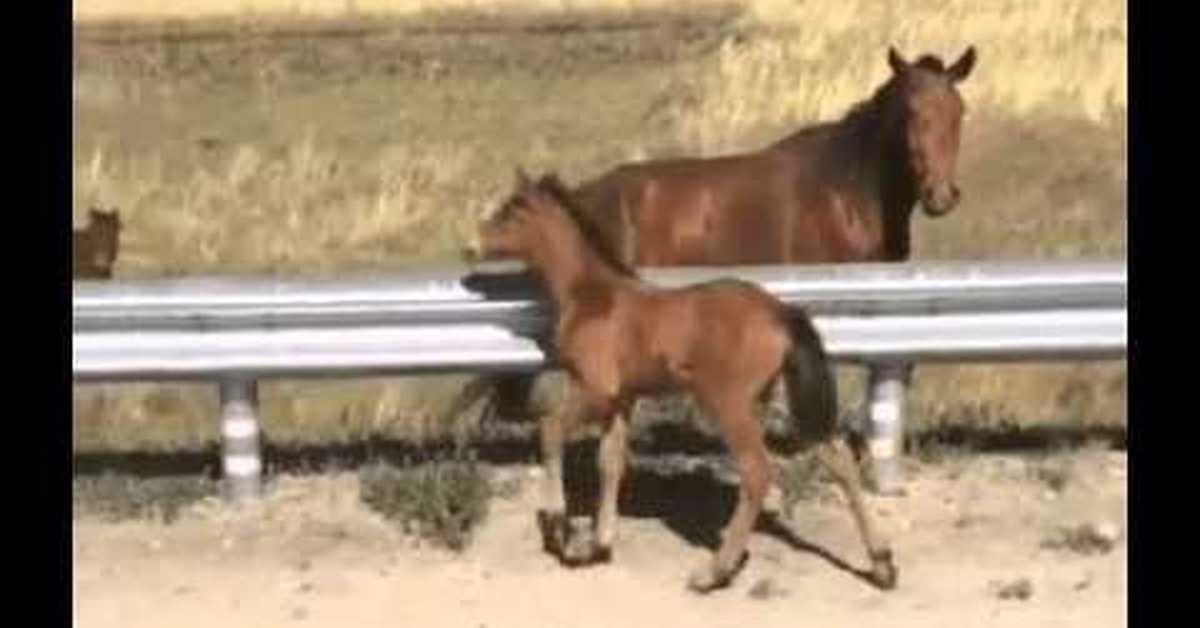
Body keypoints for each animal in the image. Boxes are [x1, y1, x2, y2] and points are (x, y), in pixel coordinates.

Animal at [472, 172, 897, 595]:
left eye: (511, 212)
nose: (475, 243)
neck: (591, 295)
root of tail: (781, 312)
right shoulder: (623, 398)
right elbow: (610, 462)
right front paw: (599, 544)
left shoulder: (595, 388)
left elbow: (550, 431)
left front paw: (560, 529)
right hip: (774, 398)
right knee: (839, 458)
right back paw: (882, 564)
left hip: (729, 403)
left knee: (757, 472)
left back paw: (714, 572)